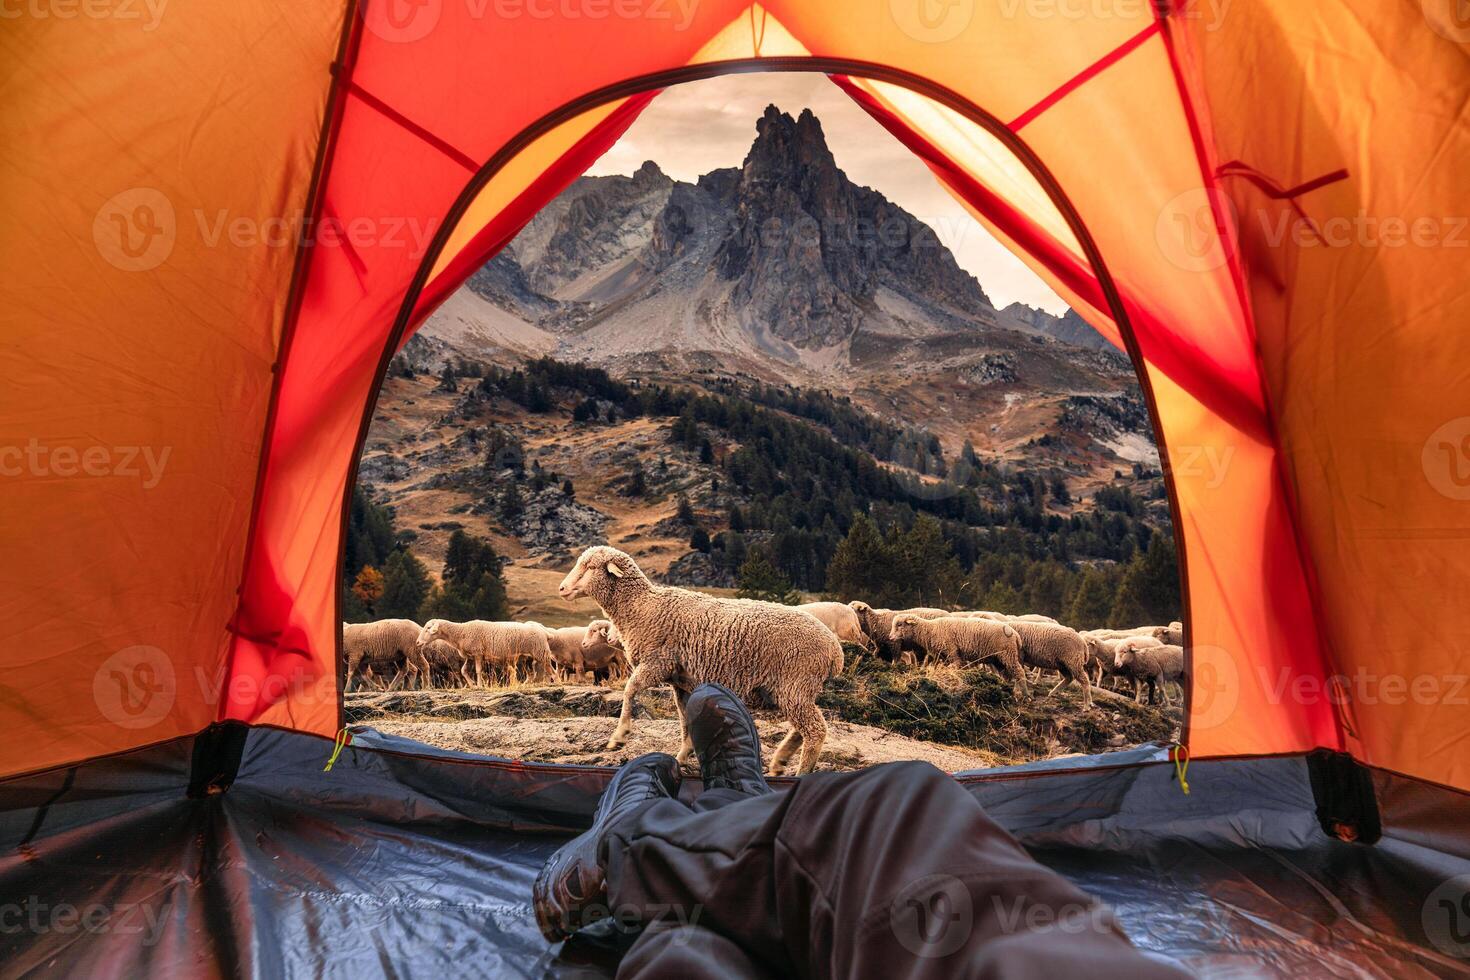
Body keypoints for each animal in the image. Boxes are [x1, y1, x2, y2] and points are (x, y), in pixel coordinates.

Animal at [414, 620, 552, 690]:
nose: (417, 642)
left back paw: (553, 682)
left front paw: (479, 685)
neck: (461, 632)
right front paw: (472, 685)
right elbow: (464, 671)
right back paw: (523, 685)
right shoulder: (470, 656)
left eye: (428, 628)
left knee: (551, 670)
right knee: (531, 674)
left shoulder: (478, 653)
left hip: (541, 653)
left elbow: (478, 670)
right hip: (526, 658)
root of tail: (545, 632)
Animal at [558, 543, 846, 775]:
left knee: (815, 730)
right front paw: (682, 757)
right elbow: (685, 721)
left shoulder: (657, 662)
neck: (641, 606)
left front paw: (619, 737)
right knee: (803, 727)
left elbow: (630, 690)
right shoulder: (681, 681)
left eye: (589, 566)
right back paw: (780, 761)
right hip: (791, 690)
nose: (562, 589)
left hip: (795, 684)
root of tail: (835, 650)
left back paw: (800, 771)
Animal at [887, 614, 1029, 696]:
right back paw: (1006, 687)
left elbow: (955, 665)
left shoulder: (952, 651)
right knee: (1006, 674)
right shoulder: (941, 655)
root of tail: (1016, 635)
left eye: (899, 624)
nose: (890, 637)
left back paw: (1024, 695)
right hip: (998, 659)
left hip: (1008, 654)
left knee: (1019, 672)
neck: (930, 630)